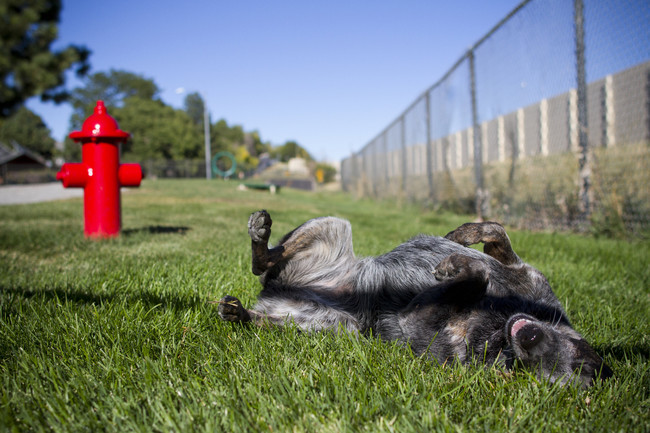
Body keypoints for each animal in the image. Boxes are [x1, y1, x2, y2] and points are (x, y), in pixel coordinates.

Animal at [220, 209, 612, 384]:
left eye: (544, 376)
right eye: (582, 359)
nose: (529, 337)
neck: (499, 321)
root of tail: (272, 293)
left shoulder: (420, 323)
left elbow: (478, 273)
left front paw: (458, 266)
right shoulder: (530, 277)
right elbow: (496, 234)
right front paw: (463, 236)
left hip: (334, 327)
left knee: (263, 312)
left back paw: (240, 313)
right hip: (333, 224)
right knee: (261, 261)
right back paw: (260, 234)